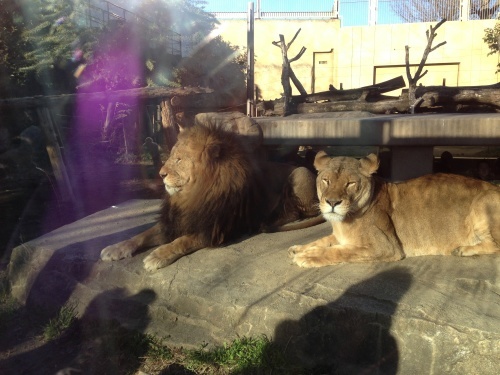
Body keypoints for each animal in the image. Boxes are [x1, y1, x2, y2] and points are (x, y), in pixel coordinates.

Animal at [101, 125, 322, 272]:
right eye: (172, 157)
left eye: (179, 159)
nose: (161, 174)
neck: (193, 194)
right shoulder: (175, 221)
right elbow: (141, 235)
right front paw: (115, 248)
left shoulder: (214, 229)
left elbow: (181, 241)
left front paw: (158, 255)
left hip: (300, 173)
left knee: (297, 212)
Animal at [290, 151, 500, 268]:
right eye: (326, 180)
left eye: (350, 183)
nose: (332, 202)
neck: (343, 222)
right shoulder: (340, 236)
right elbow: (322, 240)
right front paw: (298, 248)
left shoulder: (385, 246)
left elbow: (338, 251)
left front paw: (306, 256)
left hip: (484, 202)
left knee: (496, 246)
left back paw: (462, 249)